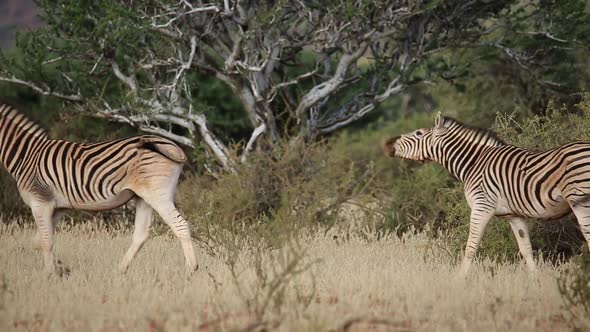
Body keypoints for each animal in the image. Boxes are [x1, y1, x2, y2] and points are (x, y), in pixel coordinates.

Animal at [0, 104, 199, 274]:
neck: (26, 155)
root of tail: (172, 146)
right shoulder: (57, 207)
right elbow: (39, 241)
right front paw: (61, 268)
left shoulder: (40, 201)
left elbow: (46, 241)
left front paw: (50, 274)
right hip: (143, 197)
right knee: (141, 235)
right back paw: (119, 270)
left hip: (158, 195)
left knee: (180, 225)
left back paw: (191, 269)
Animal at [384, 113, 590, 274]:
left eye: (418, 133)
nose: (387, 144)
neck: (474, 163)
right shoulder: (513, 215)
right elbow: (526, 249)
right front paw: (536, 280)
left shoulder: (481, 206)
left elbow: (470, 247)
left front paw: (459, 281)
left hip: (581, 201)